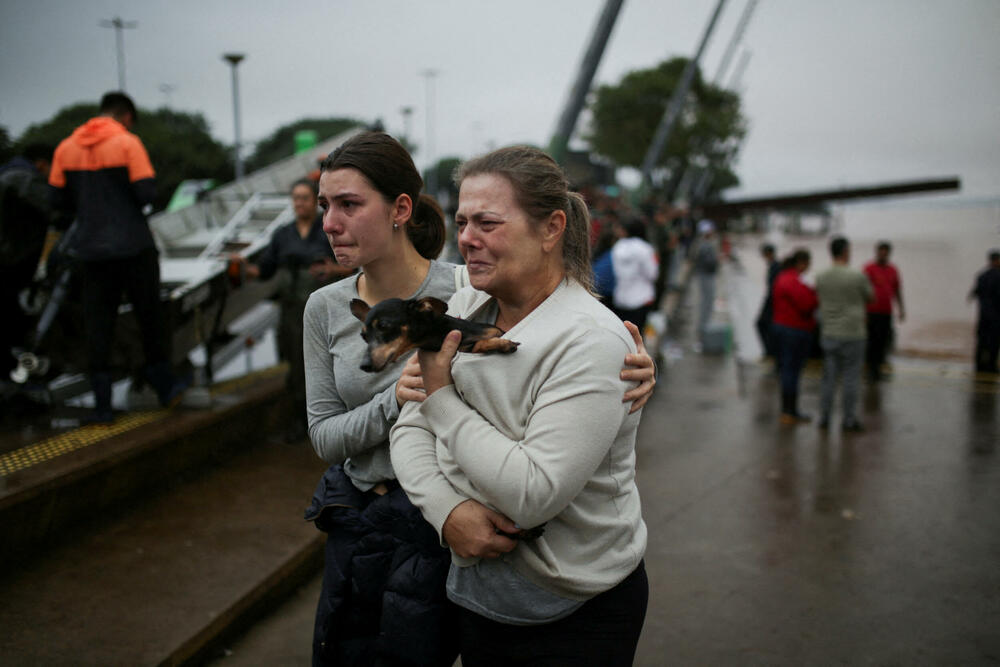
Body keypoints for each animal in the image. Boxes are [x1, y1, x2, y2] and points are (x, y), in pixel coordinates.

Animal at [350, 298, 520, 374]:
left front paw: (503, 343)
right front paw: (503, 344)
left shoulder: (494, 331)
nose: (364, 366)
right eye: (364, 337)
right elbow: (478, 345)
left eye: (384, 326)